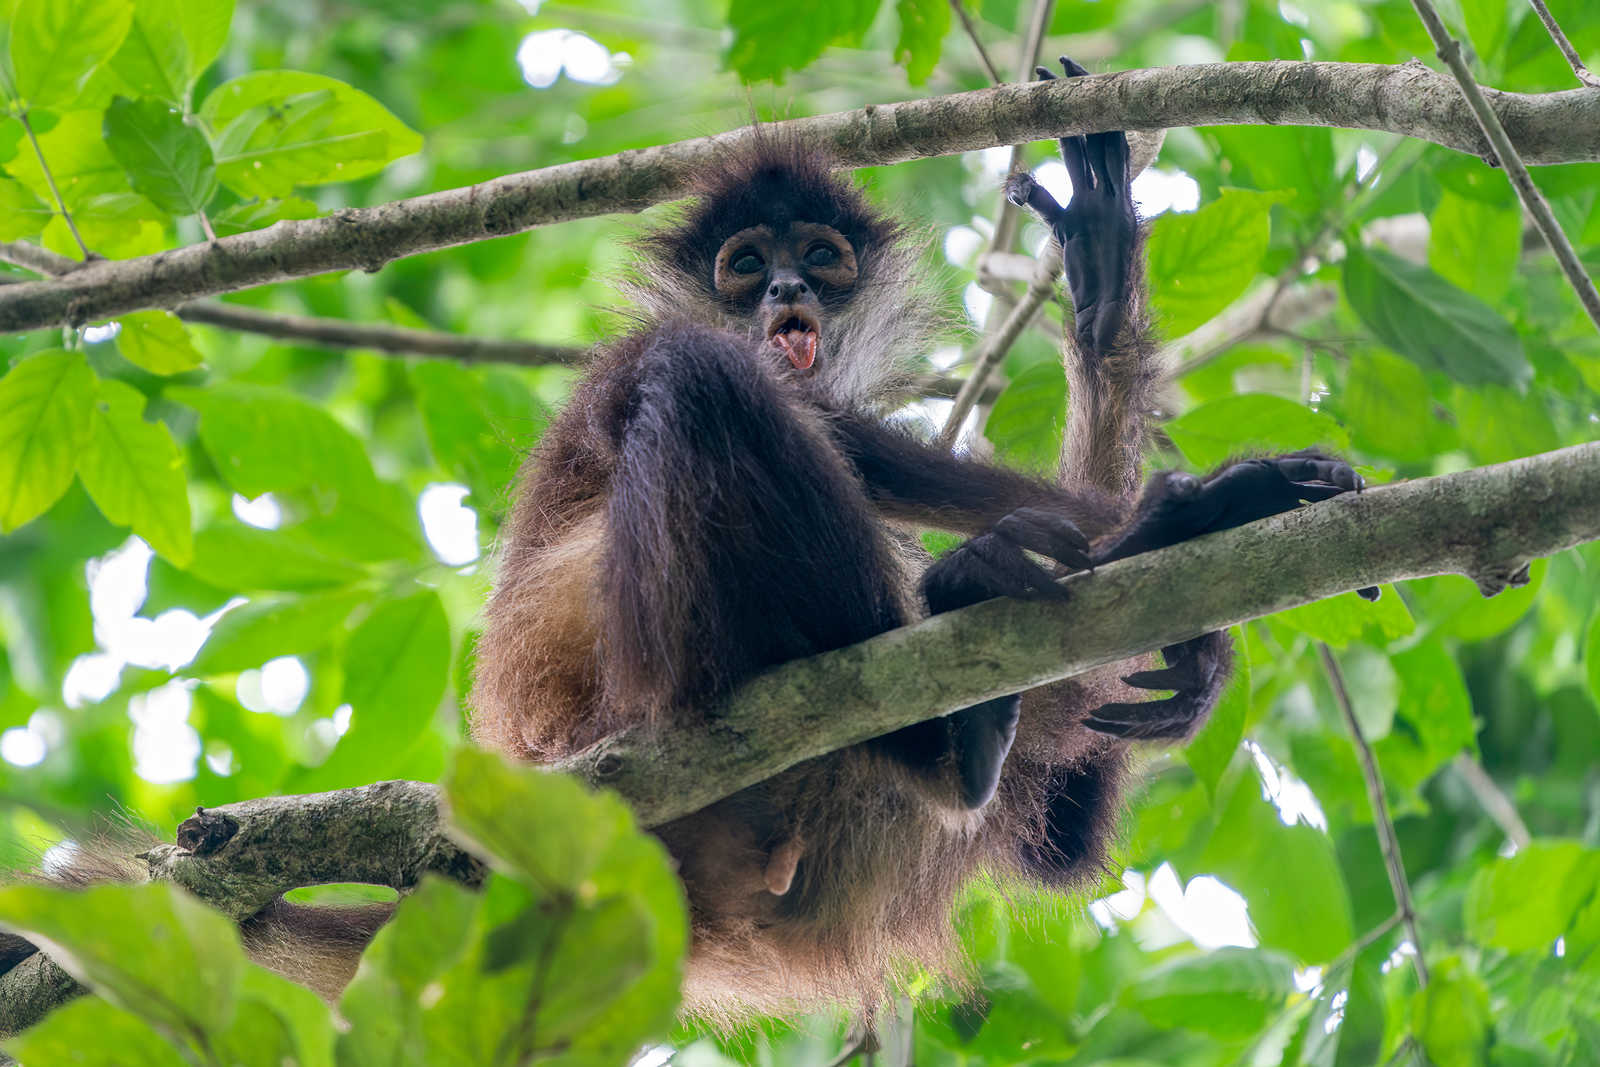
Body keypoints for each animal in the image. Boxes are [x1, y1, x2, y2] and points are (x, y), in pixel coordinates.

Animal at [468, 59, 1363, 1022]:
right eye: (746, 266)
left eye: (819, 257)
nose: (787, 290)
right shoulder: (636, 360)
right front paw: (1174, 521)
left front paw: (1104, 293)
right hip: (628, 684)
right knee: (697, 373)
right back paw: (950, 729)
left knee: (1060, 830)